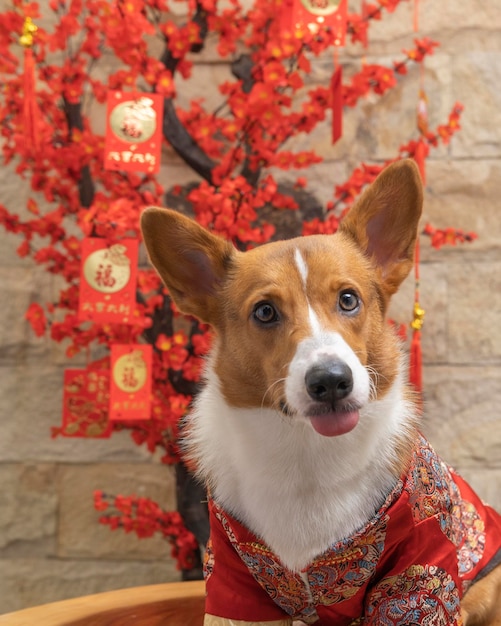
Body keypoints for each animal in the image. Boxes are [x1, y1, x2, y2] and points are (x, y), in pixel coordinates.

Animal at [141, 161, 500, 624]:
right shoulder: (231, 578)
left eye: (348, 299)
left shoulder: (420, 566)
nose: (331, 380)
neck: (307, 455)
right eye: (265, 311)